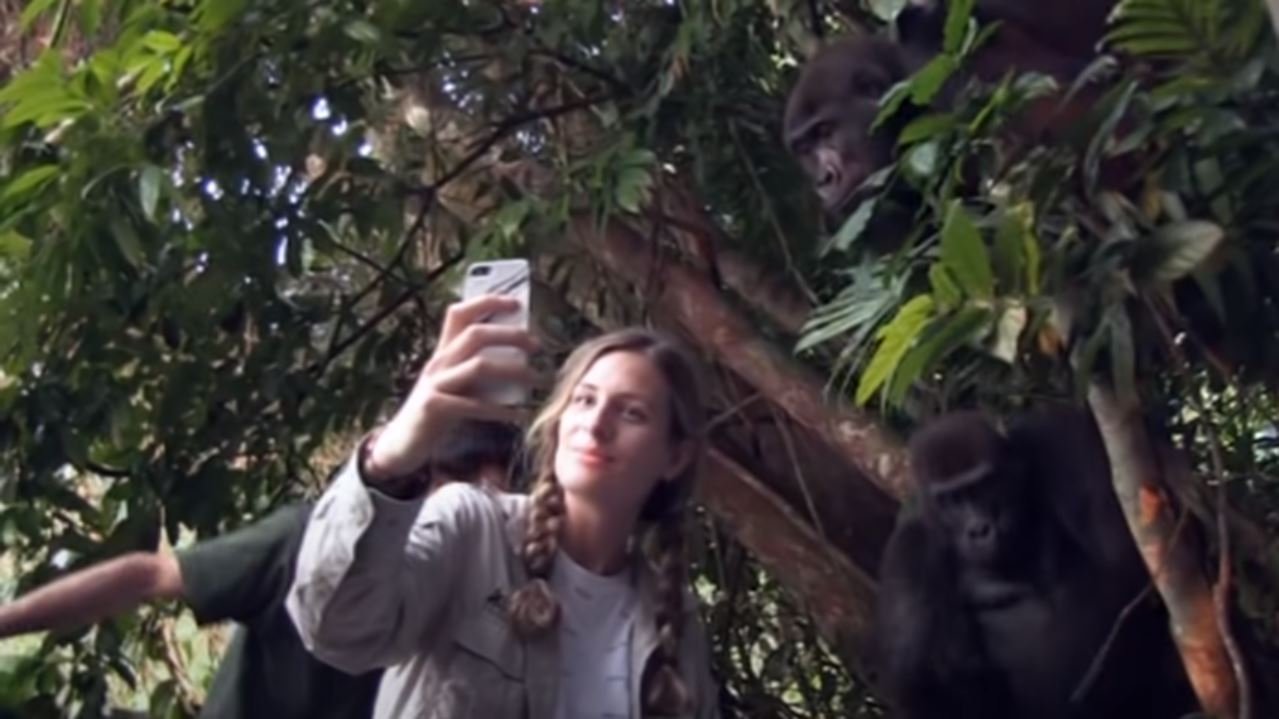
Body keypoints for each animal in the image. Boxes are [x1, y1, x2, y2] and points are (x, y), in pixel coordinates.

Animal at [874, 409, 1192, 716]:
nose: (979, 529)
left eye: (982, 486)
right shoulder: (910, 547)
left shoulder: (1054, 441)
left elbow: (1124, 559)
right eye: (952, 500)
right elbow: (919, 680)